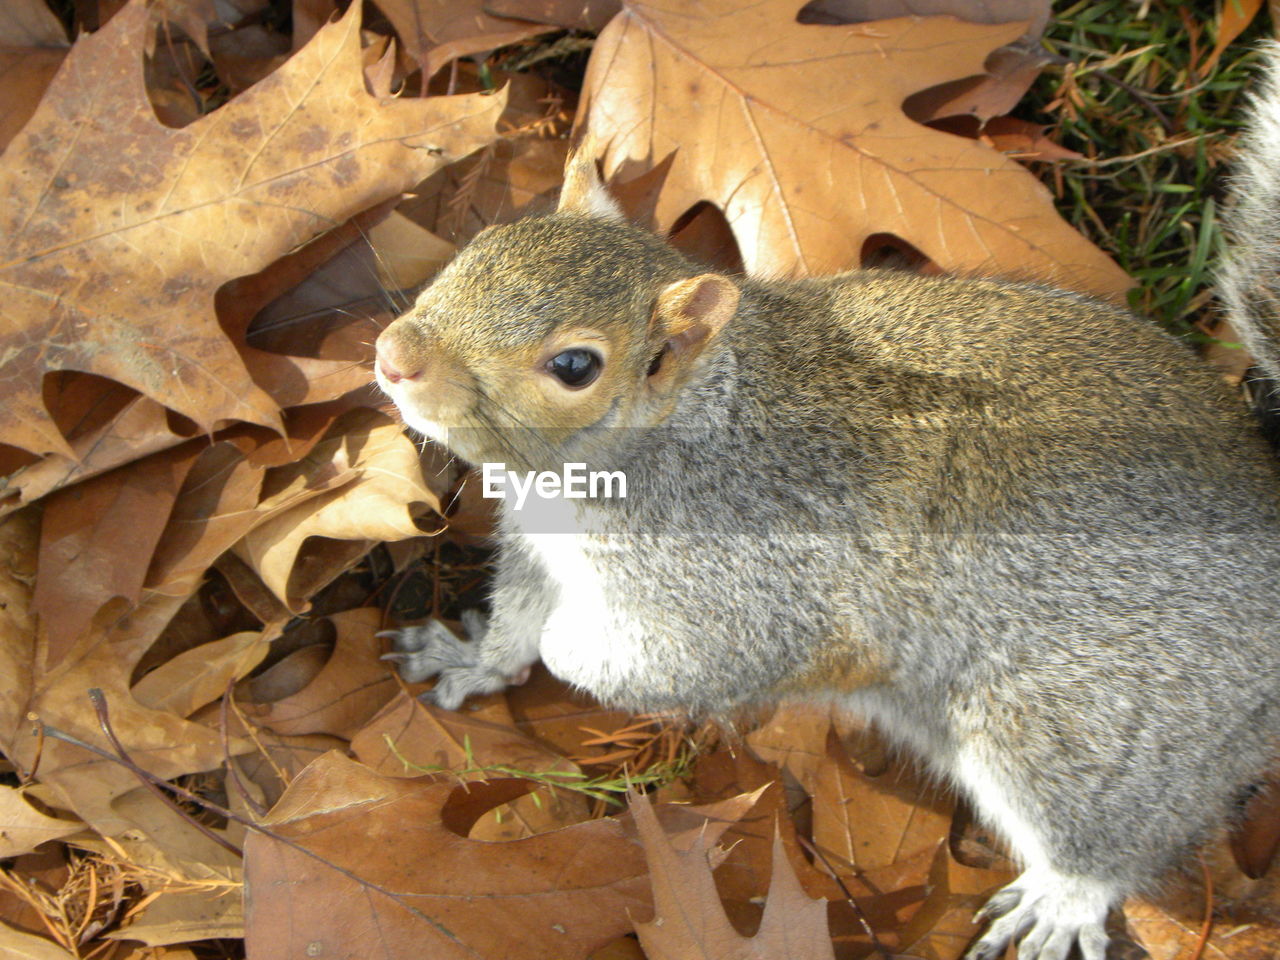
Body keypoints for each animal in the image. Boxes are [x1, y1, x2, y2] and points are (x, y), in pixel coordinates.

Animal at [373, 47, 1280, 960]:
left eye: (574, 367)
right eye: (484, 243)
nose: (393, 355)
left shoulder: (747, 595)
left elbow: (629, 653)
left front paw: (577, 653)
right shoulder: (537, 546)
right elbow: (521, 619)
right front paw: (473, 657)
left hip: (1085, 727)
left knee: (1110, 830)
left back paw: (1063, 898)